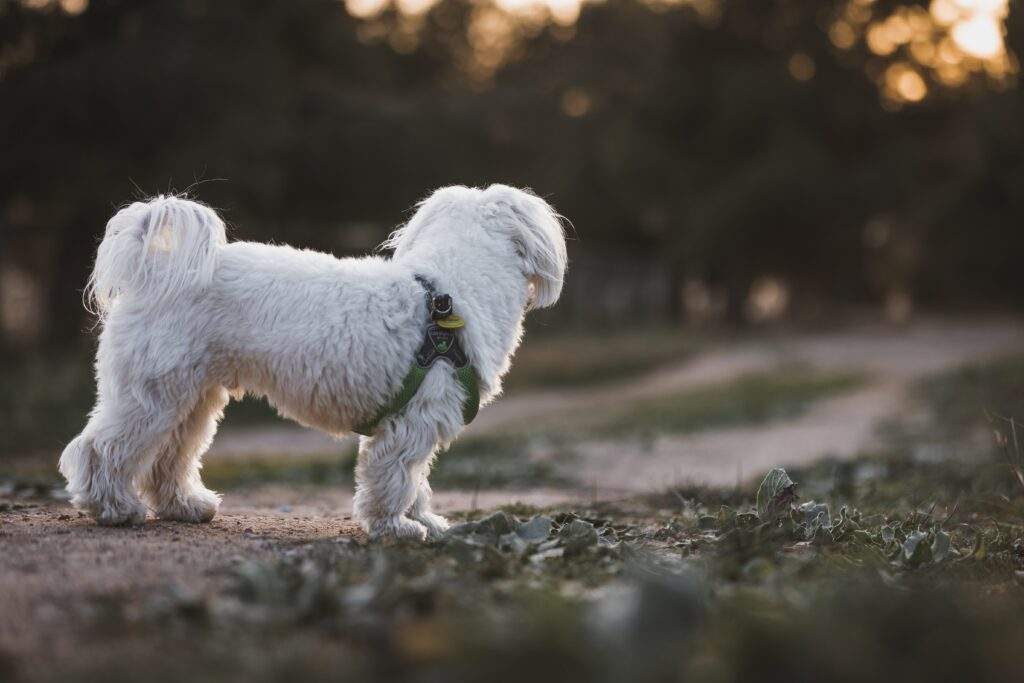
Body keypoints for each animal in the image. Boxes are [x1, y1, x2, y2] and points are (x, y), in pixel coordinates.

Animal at [59, 185, 569, 540]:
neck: (447, 299)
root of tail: (153, 273)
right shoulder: (412, 421)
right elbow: (395, 477)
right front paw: (395, 527)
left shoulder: (416, 421)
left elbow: (417, 482)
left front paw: (424, 519)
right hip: (151, 393)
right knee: (101, 448)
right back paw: (114, 509)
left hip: (192, 396)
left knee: (169, 458)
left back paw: (185, 506)